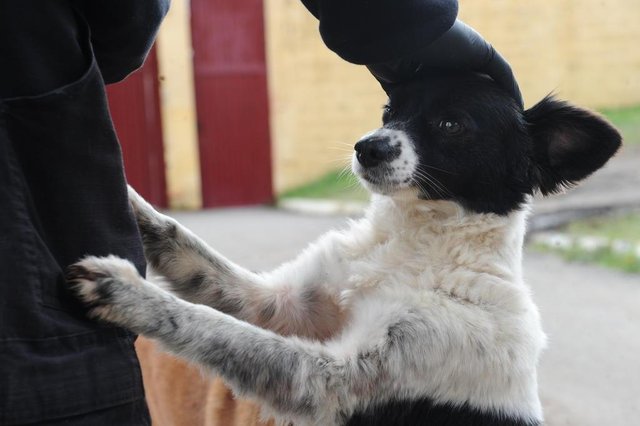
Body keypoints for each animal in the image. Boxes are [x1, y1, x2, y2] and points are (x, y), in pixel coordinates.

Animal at [69, 71, 620, 424]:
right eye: (390, 111)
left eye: (452, 124)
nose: (366, 146)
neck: (411, 250)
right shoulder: (282, 304)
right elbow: (185, 251)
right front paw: (125, 195)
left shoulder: (330, 379)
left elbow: (212, 327)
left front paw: (126, 293)